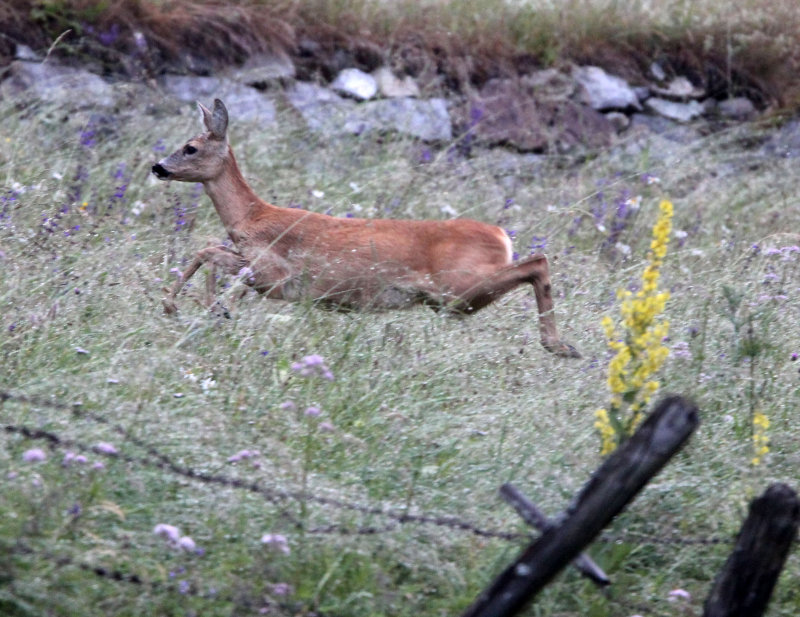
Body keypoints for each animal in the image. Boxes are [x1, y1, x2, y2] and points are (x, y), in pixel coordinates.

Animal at [150, 97, 580, 356]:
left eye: (190, 147)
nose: (158, 167)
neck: (250, 217)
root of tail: (501, 235)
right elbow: (210, 248)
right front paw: (201, 307)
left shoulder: (276, 274)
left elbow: (212, 253)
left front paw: (200, 306)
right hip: (458, 295)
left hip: (459, 287)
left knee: (538, 261)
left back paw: (559, 345)